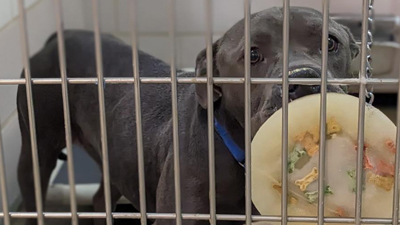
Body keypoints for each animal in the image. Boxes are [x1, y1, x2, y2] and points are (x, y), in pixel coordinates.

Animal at [15, 6, 360, 225]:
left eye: (331, 43)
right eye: (252, 54)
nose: (306, 80)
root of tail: (57, 39)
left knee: (102, 198)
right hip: (36, 154)